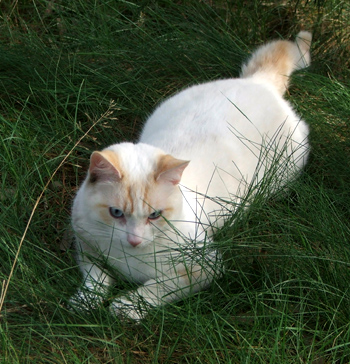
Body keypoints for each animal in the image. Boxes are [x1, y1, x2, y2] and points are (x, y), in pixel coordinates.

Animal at [70, 32, 312, 322]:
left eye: (155, 215)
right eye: (116, 213)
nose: (134, 240)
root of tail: (257, 82)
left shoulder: (205, 265)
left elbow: (158, 288)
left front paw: (126, 307)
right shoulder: (84, 244)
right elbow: (96, 277)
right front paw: (86, 301)